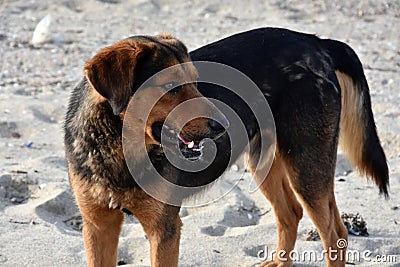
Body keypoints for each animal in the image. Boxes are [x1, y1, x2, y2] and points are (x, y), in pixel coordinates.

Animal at [65, 28, 388, 266]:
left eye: (196, 83)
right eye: (170, 86)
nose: (222, 125)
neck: (119, 149)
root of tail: (315, 42)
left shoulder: (164, 230)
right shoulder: (98, 227)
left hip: (306, 167)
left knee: (334, 232)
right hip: (264, 162)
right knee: (291, 213)